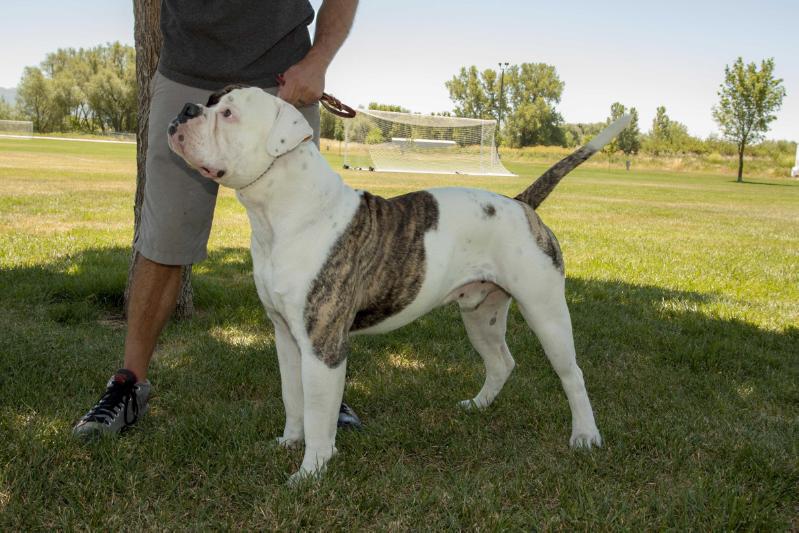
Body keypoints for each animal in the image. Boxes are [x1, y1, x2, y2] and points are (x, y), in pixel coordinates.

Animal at [169, 87, 632, 482]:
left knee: (572, 374)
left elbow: (319, 414)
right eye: (210, 100)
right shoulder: (286, 336)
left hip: (545, 312)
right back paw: (477, 406)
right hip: (480, 314)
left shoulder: (323, 346)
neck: (282, 213)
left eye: (228, 114)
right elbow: (292, 398)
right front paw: (288, 442)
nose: (185, 110)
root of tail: (521, 204)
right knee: (502, 362)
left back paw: (585, 435)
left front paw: (310, 473)